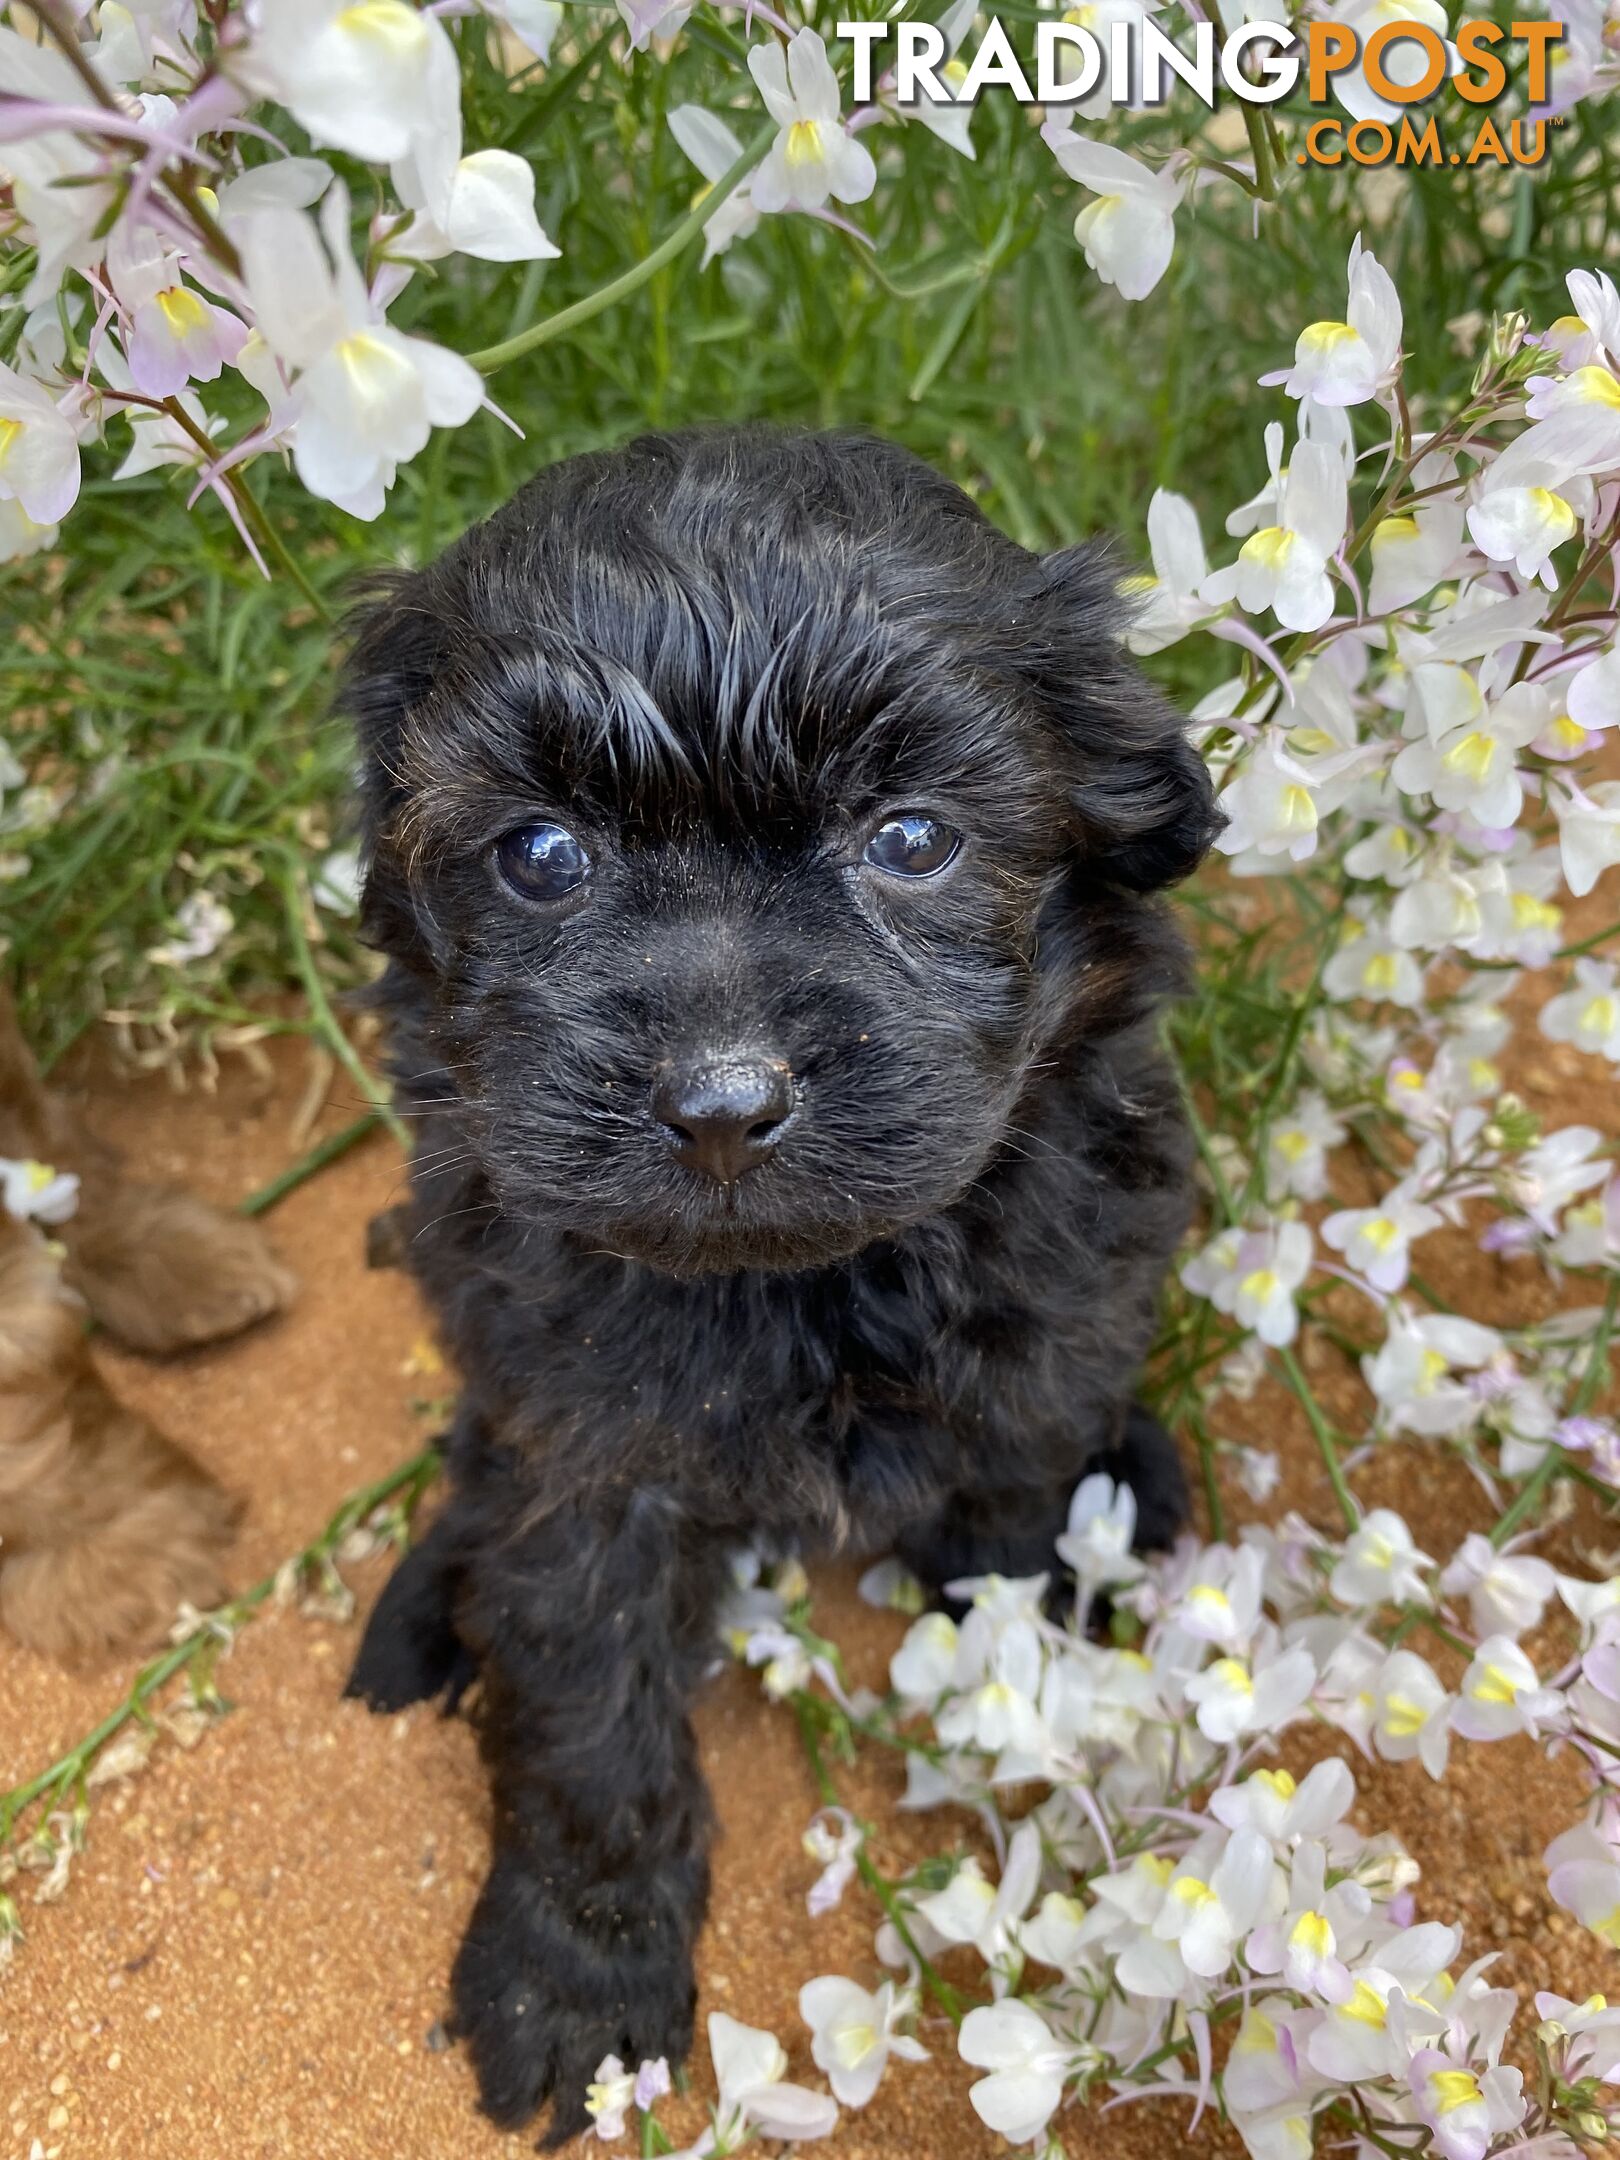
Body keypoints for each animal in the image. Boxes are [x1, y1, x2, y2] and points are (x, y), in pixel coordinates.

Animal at [349, 425, 1226, 2142]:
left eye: (911, 839)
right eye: (541, 856)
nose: (720, 1102)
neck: (805, 1290)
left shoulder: (1032, 1366)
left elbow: (1005, 1538)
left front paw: (1014, 1722)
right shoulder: (580, 1443)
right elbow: (587, 1704)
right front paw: (576, 1975)